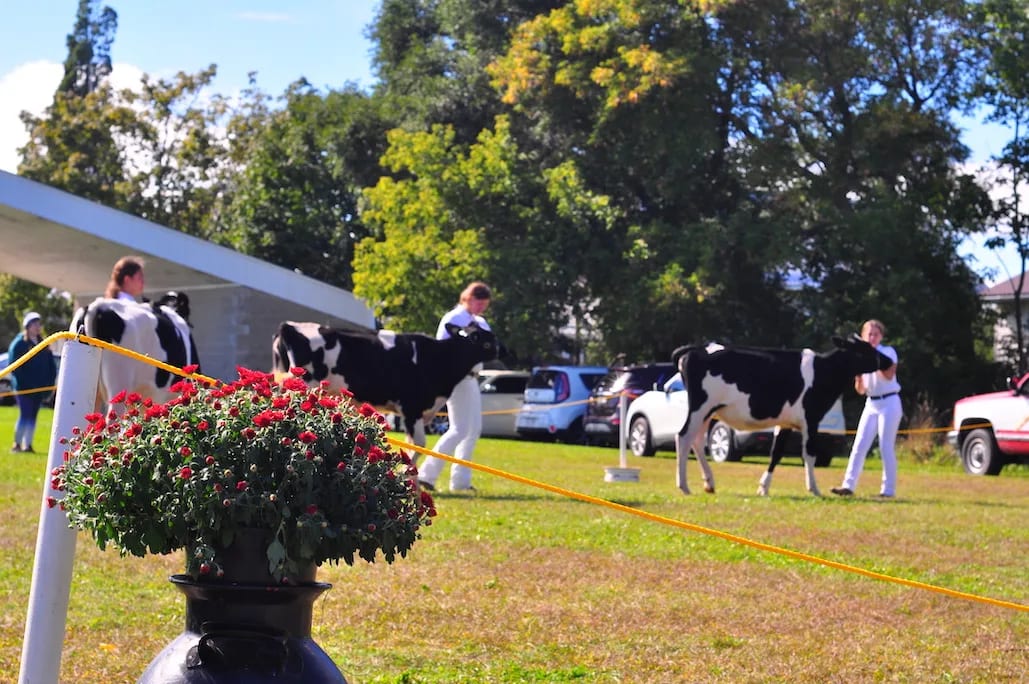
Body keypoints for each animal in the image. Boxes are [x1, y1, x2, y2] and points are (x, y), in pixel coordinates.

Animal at [671, 335, 894, 497]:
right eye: (865, 348)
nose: (889, 360)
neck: (825, 370)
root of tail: (698, 348)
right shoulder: (811, 419)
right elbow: (809, 453)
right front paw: (814, 488)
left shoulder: (786, 422)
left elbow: (776, 453)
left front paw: (763, 487)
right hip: (700, 407)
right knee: (683, 436)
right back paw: (684, 486)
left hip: (708, 412)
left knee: (696, 440)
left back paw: (709, 483)